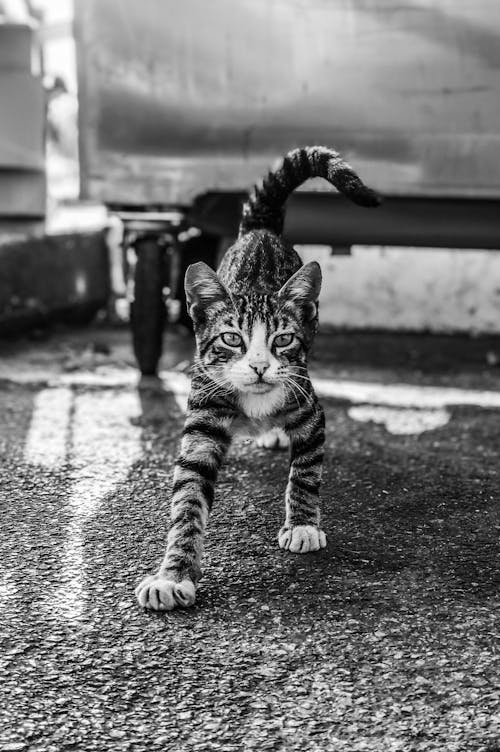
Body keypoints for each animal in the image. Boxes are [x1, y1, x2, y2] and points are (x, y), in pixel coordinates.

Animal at [135, 145, 376, 612]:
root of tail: (259, 232)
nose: (261, 365)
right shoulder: (204, 413)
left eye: (283, 339)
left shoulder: (309, 406)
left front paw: (302, 525)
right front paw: (173, 574)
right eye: (232, 338)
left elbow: (306, 470)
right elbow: (188, 497)